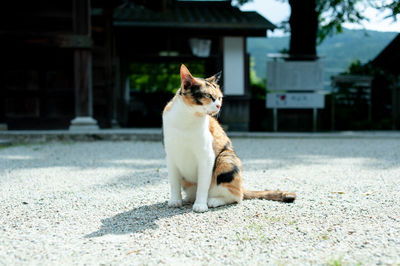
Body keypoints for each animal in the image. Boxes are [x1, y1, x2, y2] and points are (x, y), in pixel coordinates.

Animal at [161, 64, 296, 212]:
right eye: (208, 96)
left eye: (219, 98)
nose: (218, 105)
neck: (186, 119)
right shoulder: (171, 157)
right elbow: (174, 183)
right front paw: (175, 201)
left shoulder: (207, 157)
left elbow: (203, 184)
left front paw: (200, 205)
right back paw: (188, 199)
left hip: (225, 159)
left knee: (237, 196)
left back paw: (213, 200)